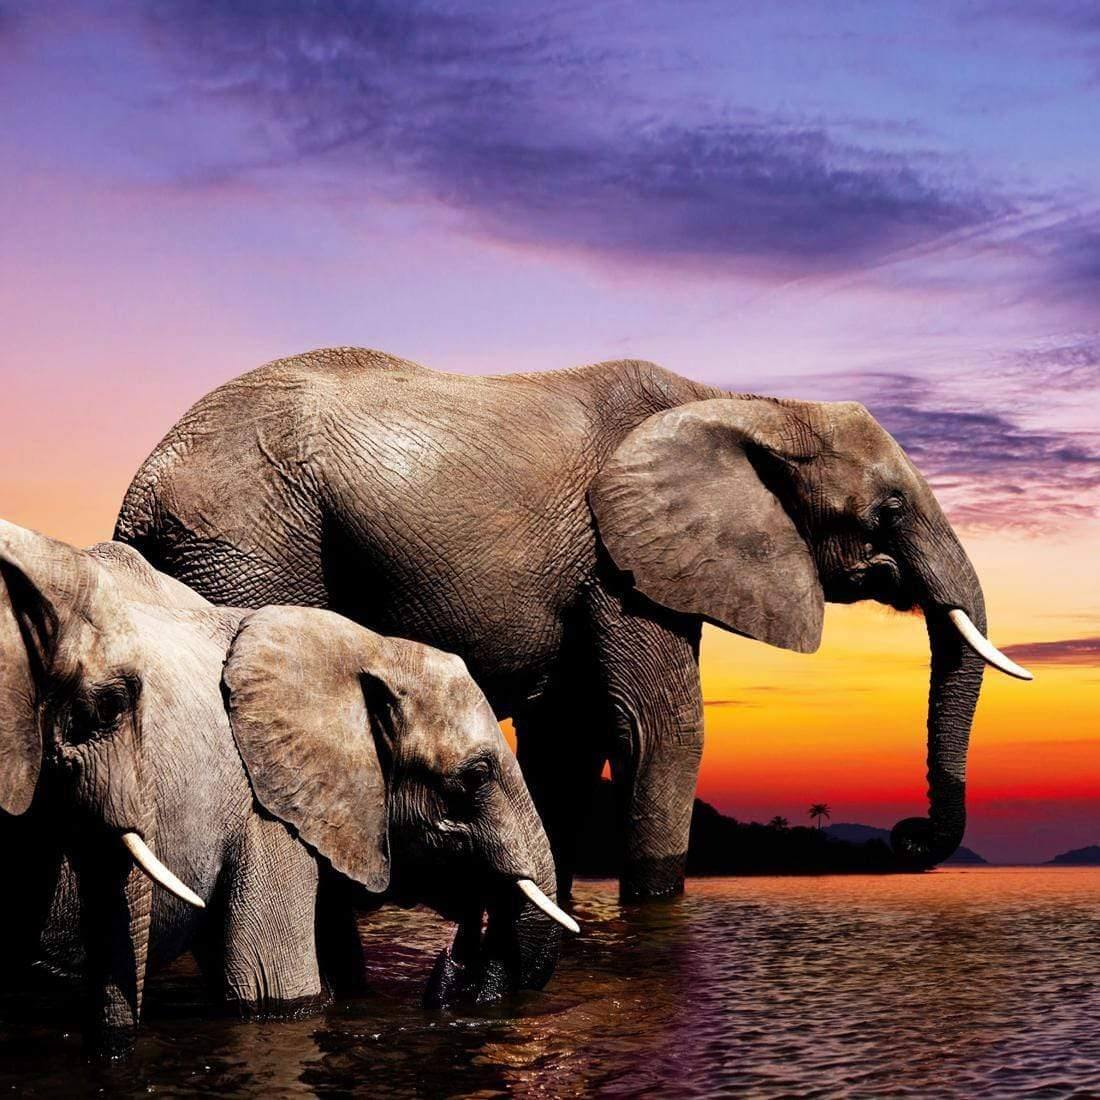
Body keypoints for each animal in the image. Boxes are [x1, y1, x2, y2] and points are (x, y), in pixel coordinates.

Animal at [114, 348, 1031, 902]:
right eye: (889, 509)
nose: (905, 840)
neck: (748, 403)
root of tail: (140, 488)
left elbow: (570, 738)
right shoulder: (619, 560)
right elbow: (660, 729)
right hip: (250, 546)